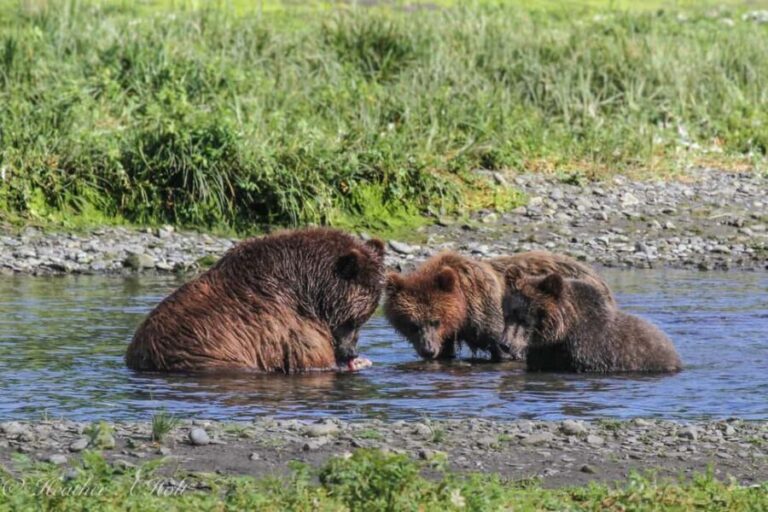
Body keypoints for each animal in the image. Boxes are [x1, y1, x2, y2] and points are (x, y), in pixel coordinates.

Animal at [125, 228, 386, 373]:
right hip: (206, 357)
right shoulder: (285, 324)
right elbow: (312, 356)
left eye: (360, 321)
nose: (351, 353)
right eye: (353, 321)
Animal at [383, 250, 613, 362]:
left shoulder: (489, 315)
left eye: (435, 321)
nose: (428, 350)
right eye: (412, 324)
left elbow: (503, 348)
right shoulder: (450, 333)